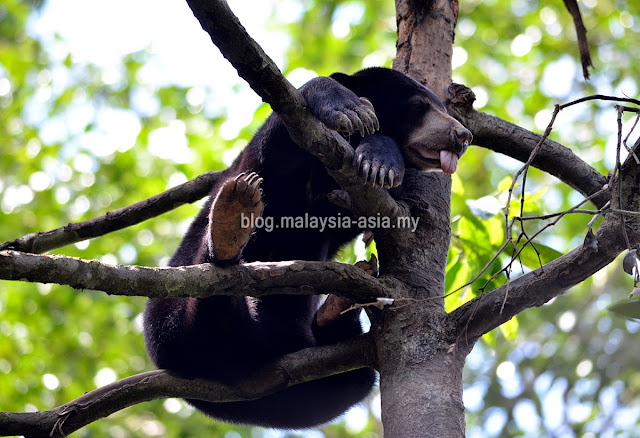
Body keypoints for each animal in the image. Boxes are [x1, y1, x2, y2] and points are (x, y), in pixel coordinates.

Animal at [143, 67, 472, 429]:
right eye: (418, 107)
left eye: (442, 108)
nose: (463, 135)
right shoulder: (272, 156)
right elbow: (281, 130)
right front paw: (356, 115)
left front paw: (382, 165)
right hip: (169, 323)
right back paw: (231, 219)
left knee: (351, 377)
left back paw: (337, 309)